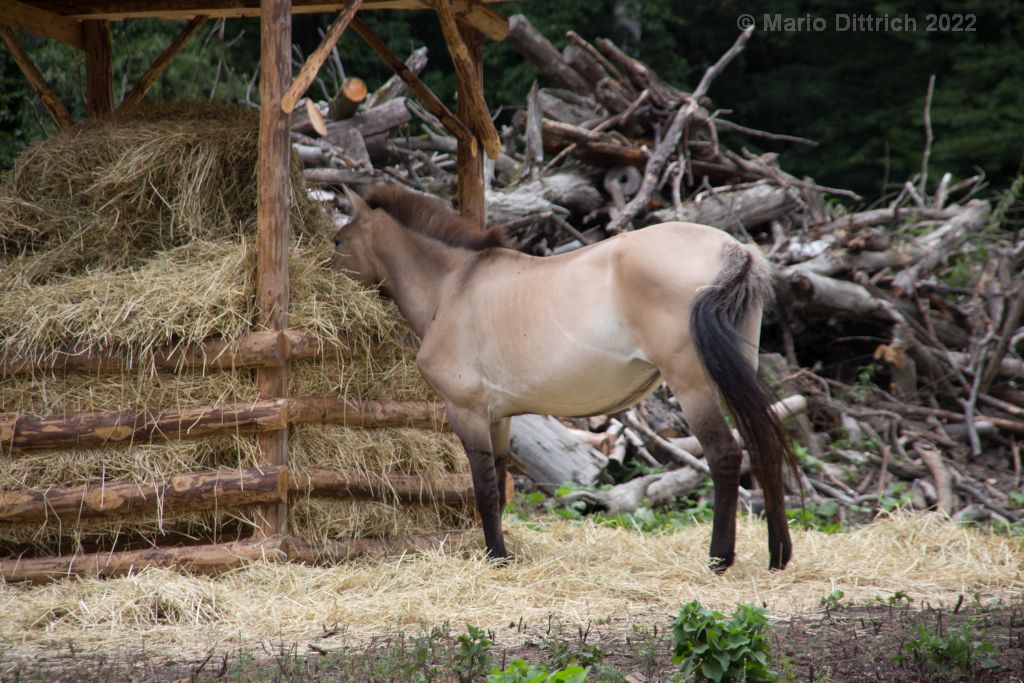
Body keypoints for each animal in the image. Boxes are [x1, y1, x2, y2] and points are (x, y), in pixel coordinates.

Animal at [331, 185, 794, 573]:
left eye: (337, 242)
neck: (452, 286)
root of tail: (734, 248)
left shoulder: (466, 412)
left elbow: (484, 487)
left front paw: (497, 557)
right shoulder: (498, 417)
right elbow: (499, 483)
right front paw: (501, 550)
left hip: (693, 385)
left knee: (724, 455)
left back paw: (720, 558)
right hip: (732, 371)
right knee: (762, 442)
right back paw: (778, 554)